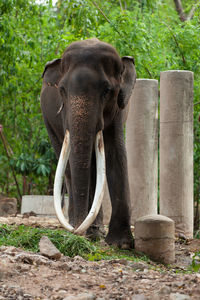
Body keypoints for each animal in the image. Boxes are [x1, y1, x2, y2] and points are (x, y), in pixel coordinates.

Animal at [40, 38, 138, 248]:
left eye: (107, 91)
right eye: (62, 90)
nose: (77, 234)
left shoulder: (119, 109)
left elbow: (115, 153)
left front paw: (121, 244)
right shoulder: (63, 114)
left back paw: (93, 231)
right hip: (48, 122)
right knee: (68, 165)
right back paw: (84, 228)